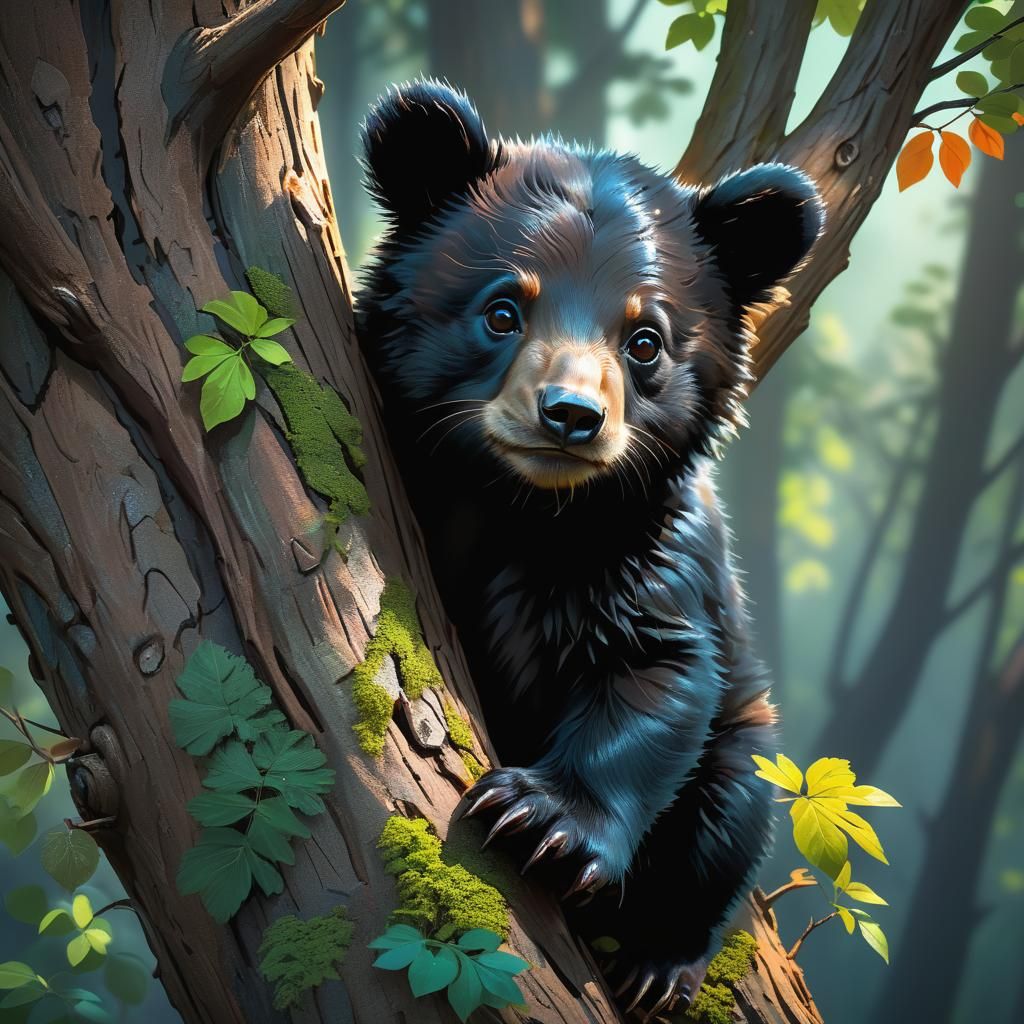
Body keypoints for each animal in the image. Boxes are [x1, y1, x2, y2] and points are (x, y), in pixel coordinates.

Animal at [357, 80, 824, 1021]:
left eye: (645, 339)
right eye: (503, 310)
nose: (570, 415)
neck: (525, 505)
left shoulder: (653, 548)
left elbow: (653, 679)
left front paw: (542, 822)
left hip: (741, 748)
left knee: (726, 819)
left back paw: (656, 964)